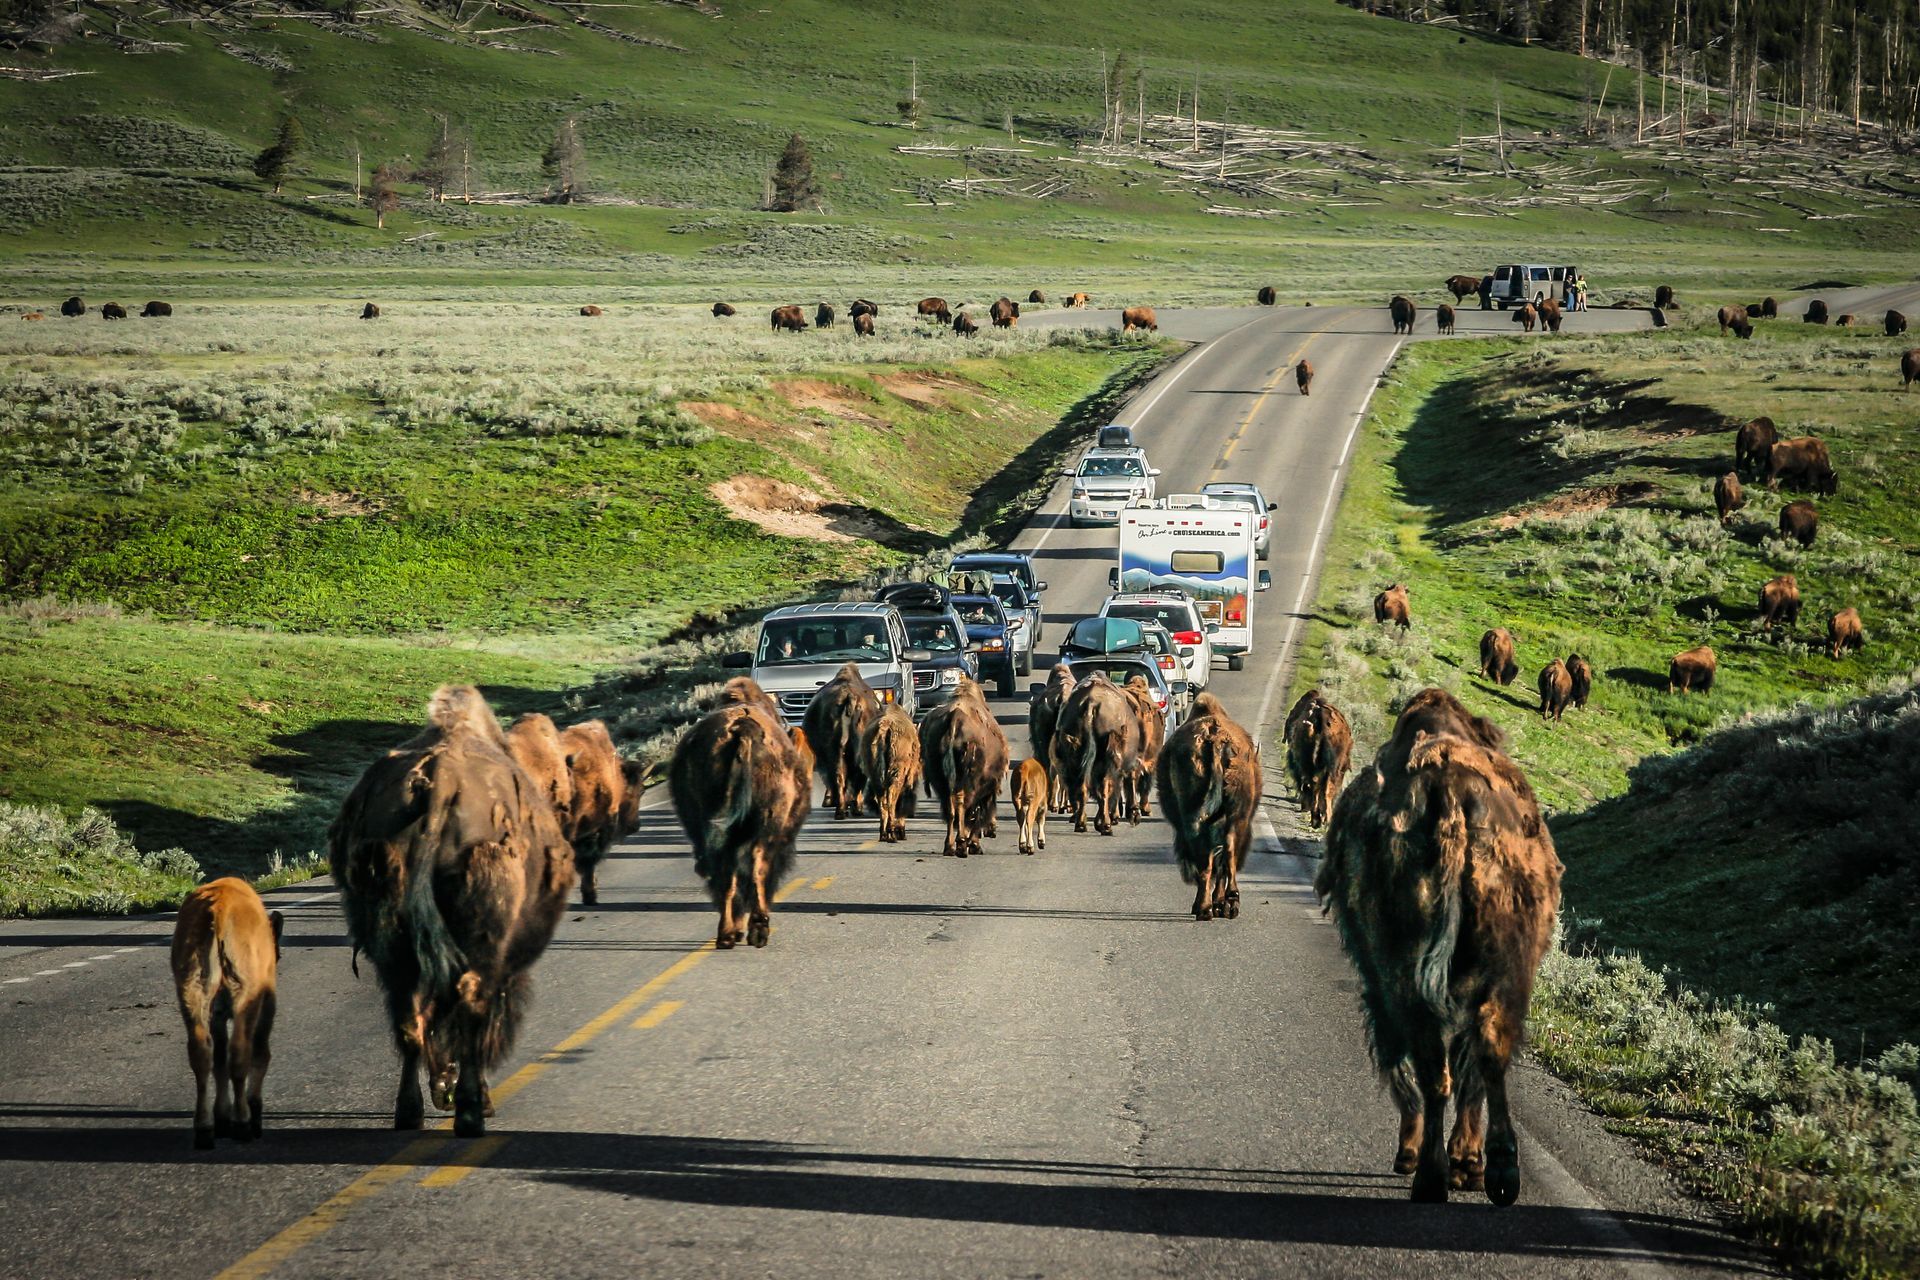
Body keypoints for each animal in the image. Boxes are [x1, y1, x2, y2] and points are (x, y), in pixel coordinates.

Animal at [172, 878, 283, 1149]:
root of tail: (218, 911)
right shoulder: (267, 1000)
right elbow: (260, 1052)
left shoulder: (217, 1015)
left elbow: (219, 1060)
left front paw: (222, 1119)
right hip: (245, 993)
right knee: (241, 1051)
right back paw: (243, 1124)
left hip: (192, 992)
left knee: (202, 1053)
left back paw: (204, 1130)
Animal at [329, 685, 576, 1136]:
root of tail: (439, 782)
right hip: (478, 944)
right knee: (469, 1008)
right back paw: (471, 1111)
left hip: (392, 947)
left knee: (409, 1019)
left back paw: (411, 1112)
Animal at [918, 678, 1008, 857]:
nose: (993, 830)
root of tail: (955, 718)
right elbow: (976, 813)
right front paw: (974, 844)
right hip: (967, 781)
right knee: (963, 805)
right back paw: (961, 844)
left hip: (941, 781)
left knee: (950, 808)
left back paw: (949, 847)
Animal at [1158, 692, 1260, 921]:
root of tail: (1216, 740)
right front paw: (1219, 903)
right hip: (1235, 816)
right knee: (1227, 852)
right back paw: (1226, 904)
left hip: (1200, 819)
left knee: (1209, 859)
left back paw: (1205, 908)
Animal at [1318, 687, 1561, 1204]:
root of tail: (1452, 794)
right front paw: (1466, 1164)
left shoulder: (1380, 986)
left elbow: (1401, 1064)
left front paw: (1412, 1155)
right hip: (1503, 973)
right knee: (1485, 1054)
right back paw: (1497, 1171)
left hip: (1405, 976)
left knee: (1435, 1068)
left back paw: (1430, 1174)